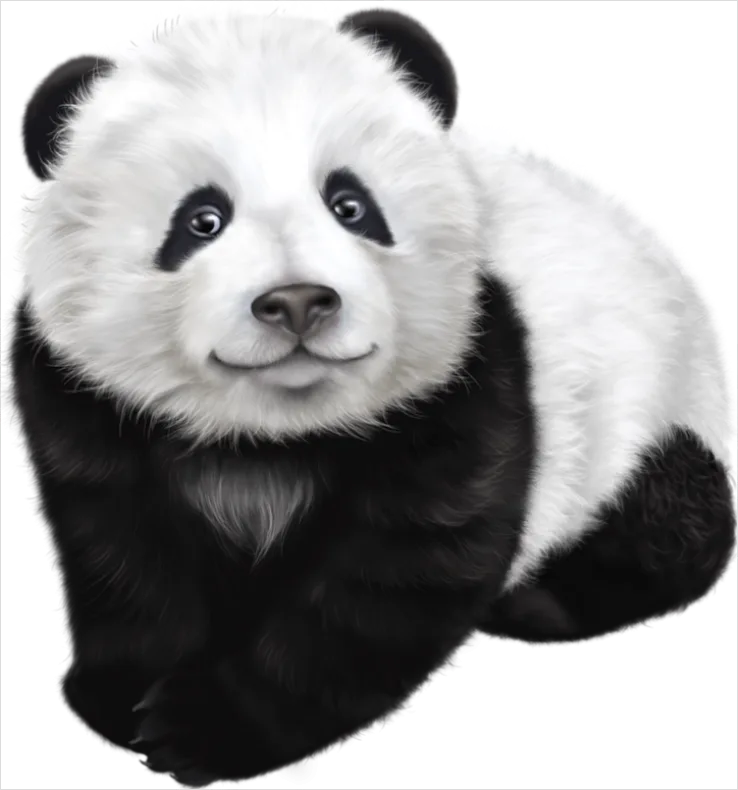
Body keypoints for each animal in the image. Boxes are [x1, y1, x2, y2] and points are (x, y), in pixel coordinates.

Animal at [5, 2, 735, 785]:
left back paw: (547, 599)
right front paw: (124, 695)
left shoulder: (468, 382)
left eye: (350, 205)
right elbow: (117, 549)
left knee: (666, 518)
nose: (297, 302)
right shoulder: (82, 403)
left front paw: (210, 729)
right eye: (201, 220)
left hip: (660, 417)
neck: (268, 434)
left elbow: (390, 581)